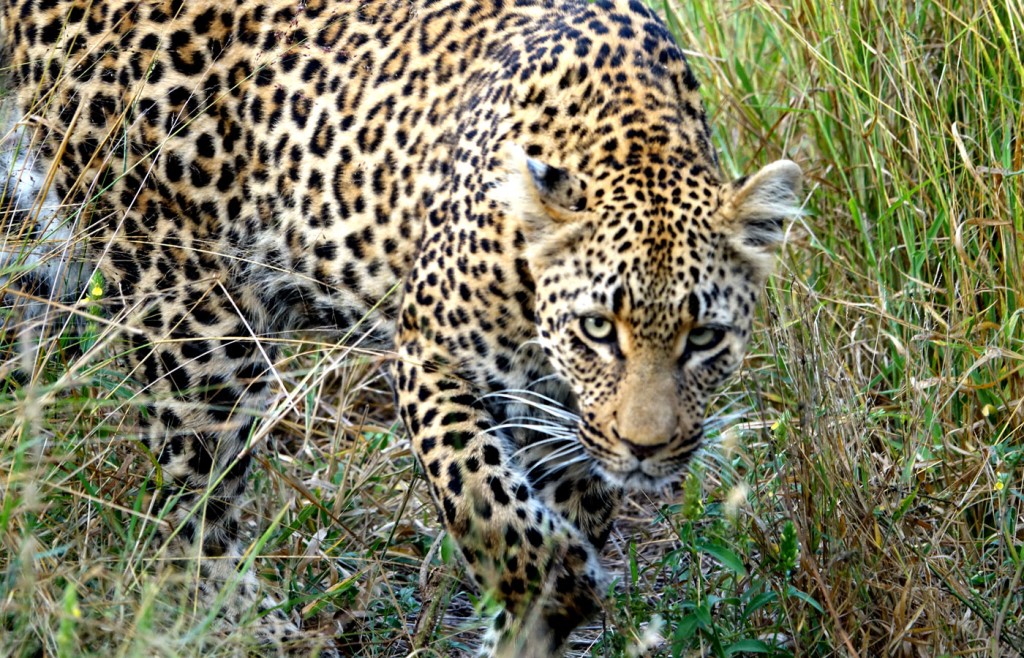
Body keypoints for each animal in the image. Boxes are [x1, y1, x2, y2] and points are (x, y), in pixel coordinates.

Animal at [0, 0, 798, 654]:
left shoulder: (566, 434)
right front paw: (556, 579)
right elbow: (490, 509)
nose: (644, 450)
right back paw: (255, 631)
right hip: (193, 318)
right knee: (197, 514)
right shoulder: (435, 360)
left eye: (704, 339)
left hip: (35, 252)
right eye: (599, 328)